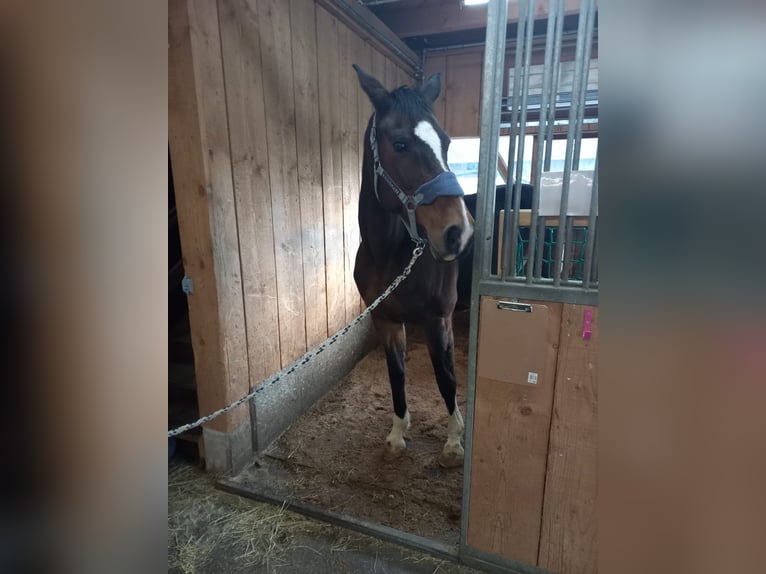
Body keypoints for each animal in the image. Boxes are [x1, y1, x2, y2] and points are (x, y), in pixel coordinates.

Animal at [352, 65, 474, 466]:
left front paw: (453, 442)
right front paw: (396, 434)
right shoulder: (386, 320)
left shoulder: (438, 320)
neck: (390, 255)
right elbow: (396, 374)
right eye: (401, 144)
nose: (458, 232)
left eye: (446, 143)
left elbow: (446, 378)